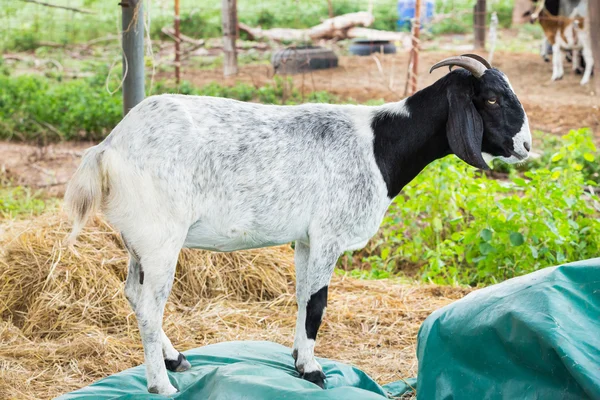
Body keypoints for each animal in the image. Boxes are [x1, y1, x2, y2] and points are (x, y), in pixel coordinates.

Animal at [65, 54, 532, 396]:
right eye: (491, 99)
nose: (526, 146)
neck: (378, 145)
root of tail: (109, 148)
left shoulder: (306, 241)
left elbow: (303, 296)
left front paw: (296, 359)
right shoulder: (329, 235)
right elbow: (318, 303)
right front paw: (312, 371)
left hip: (138, 241)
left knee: (132, 293)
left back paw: (175, 359)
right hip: (161, 238)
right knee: (149, 306)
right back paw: (161, 384)